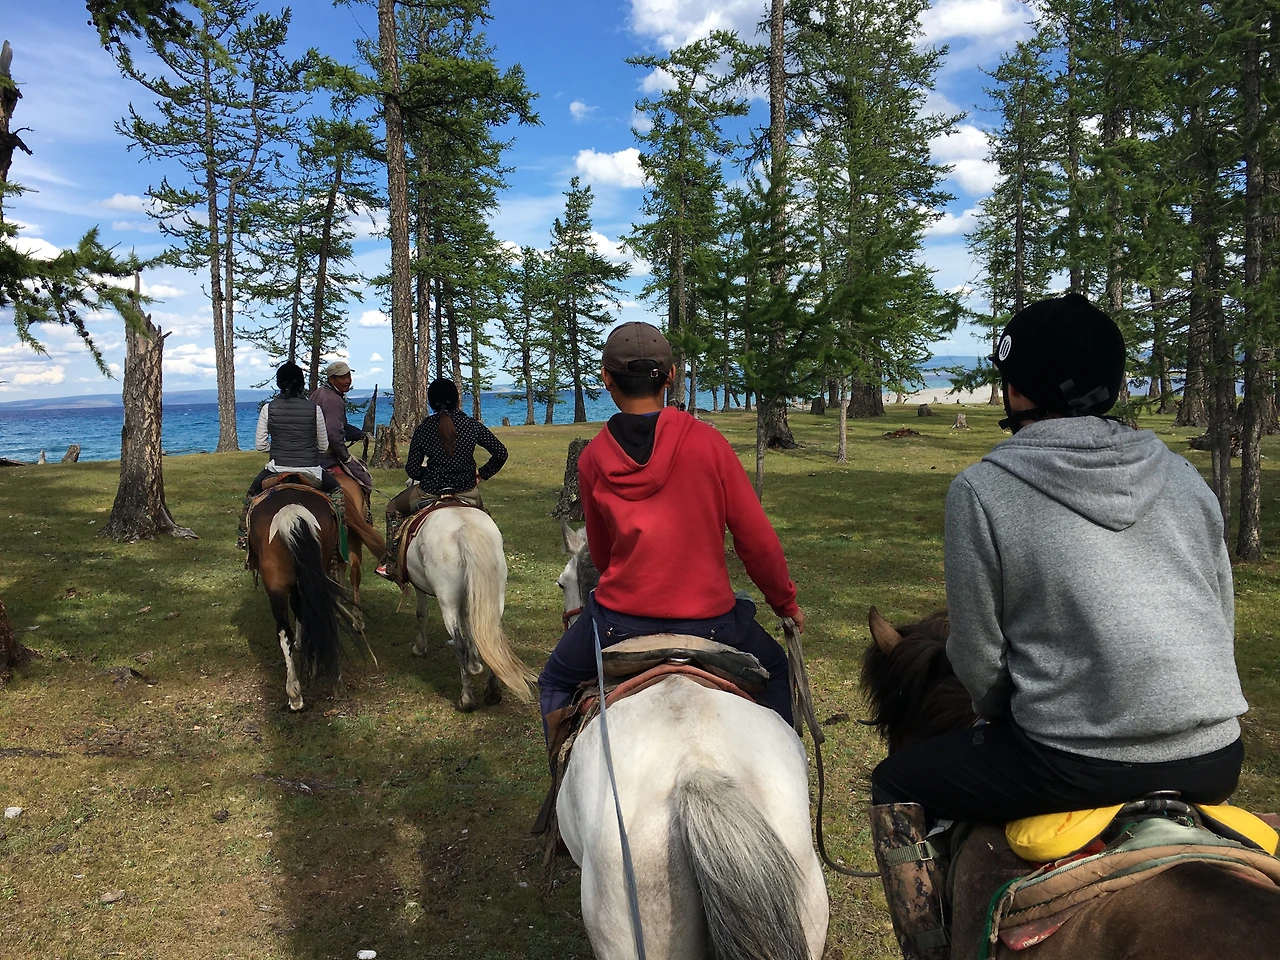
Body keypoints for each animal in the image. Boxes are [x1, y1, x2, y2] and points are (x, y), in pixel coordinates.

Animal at [403, 503, 537, 711]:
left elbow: (421, 614)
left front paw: (419, 648)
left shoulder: (419, 586)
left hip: (447, 601)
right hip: (494, 597)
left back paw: (466, 700)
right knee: (491, 636)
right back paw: (492, 692)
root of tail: (466, 526)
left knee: (459, 645)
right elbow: (470, 626)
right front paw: (475, 665)